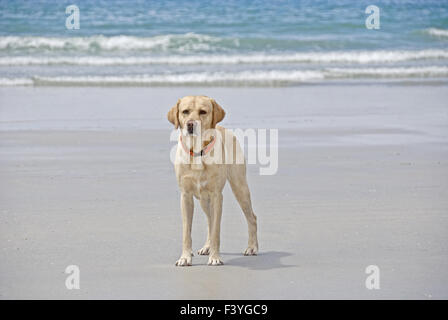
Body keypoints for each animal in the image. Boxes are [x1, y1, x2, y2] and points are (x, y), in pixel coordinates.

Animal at [168, 96, 260, 266]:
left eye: (203, 112)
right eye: (185, 112)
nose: (191, 124)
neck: (197, 152)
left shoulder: (217, 195)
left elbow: (216, 230)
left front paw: (215, 257)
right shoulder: (185, 196)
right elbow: (187, 232)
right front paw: (185, 257)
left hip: (239, 187)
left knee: (251, 217)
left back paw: (252, 247)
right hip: (204, 199)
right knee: (209, 221)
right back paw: (207, 247)